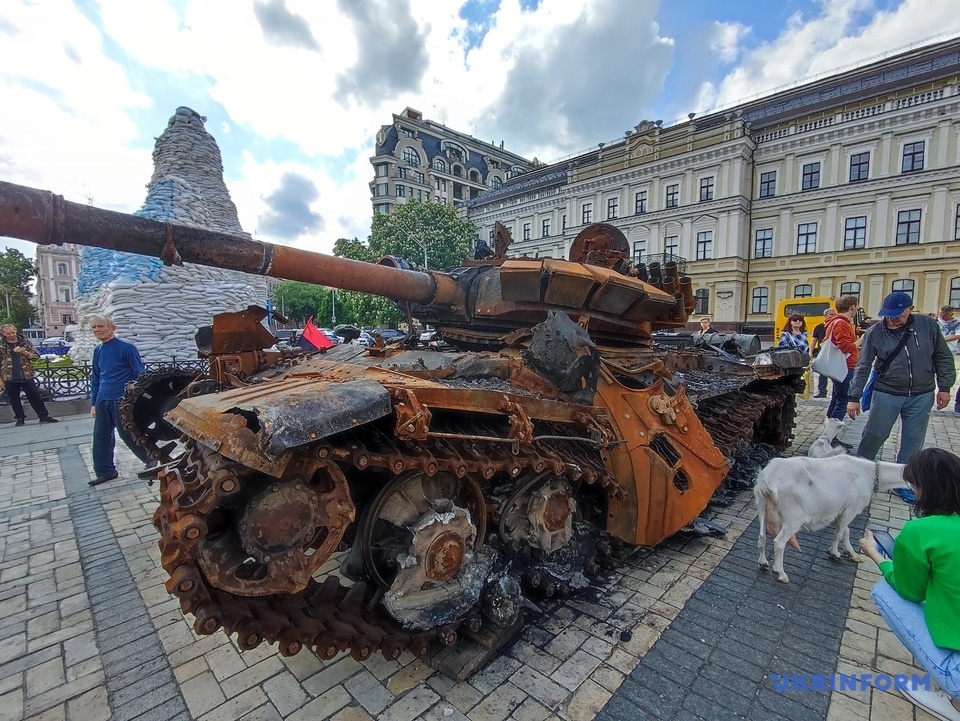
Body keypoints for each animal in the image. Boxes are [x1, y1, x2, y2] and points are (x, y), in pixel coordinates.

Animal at [756, 458, 908, 584]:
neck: (869, 474)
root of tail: (768, 480)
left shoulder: (840, 510)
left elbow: (846, 531)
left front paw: (851, 553)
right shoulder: (851, 509)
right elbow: (840, 533)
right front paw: (834, 553)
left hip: (762, 507)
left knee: (762, 536)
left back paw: (763, 563)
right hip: (793, 517)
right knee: (779, 543)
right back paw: (781, 573)